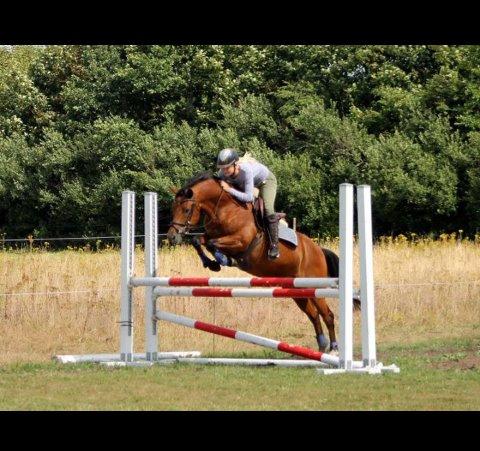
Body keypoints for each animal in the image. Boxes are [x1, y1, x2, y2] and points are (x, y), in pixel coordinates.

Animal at [167, 172, 358, 354]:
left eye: (186, 209)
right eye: (173, 208)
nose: (171, 237)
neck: (224, 209)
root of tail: (318, 250)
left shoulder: (240, 241)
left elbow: (212, 243)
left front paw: (223, 260)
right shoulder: (209, 234)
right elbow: (198, 240)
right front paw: (211, 264)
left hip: (313, 285)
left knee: (327, 315)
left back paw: (333, 348)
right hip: (296, 290)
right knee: (313, 315)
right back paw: (321, 347)